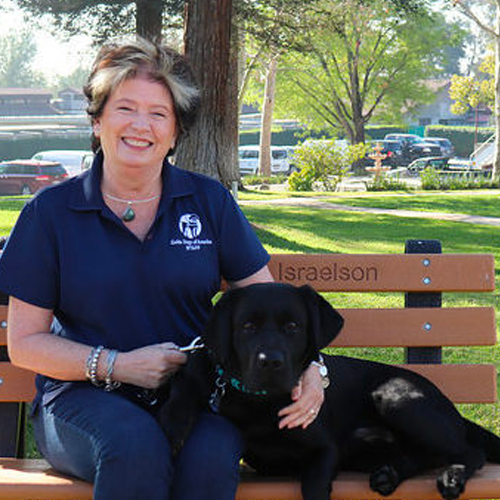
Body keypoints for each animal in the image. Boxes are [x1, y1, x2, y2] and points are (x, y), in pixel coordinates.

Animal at [160, 284, 500, 500]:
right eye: (247, 326)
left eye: (293, 326)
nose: (270, 362)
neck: (262, 402)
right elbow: (184, 387)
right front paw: (173, 426)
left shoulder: (325, 451)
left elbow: (313, 485)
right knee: (424, 455)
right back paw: (389, 474)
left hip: (395, 398)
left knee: (471, 452)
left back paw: (451, 476)